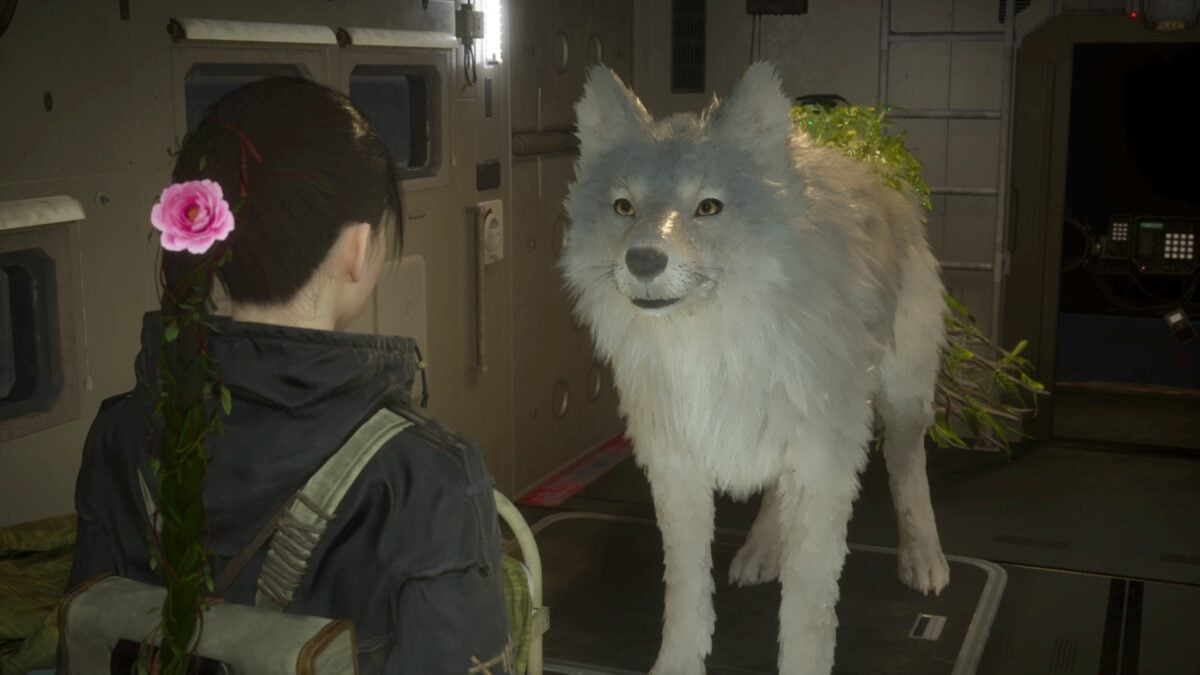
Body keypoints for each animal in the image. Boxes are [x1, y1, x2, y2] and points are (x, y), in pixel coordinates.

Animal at [558, 62, 952, 674]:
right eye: (624, 208)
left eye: (708, 207)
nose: (642, 260)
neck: (712, 350)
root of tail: (864, 158)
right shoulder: (677, 469)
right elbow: (686, 595)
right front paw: (677, 663)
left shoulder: (823, 468)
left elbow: (808, 613)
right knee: (773, 495)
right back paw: (763, 550)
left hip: (902, 400)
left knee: (909, 466)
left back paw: (924, 559)